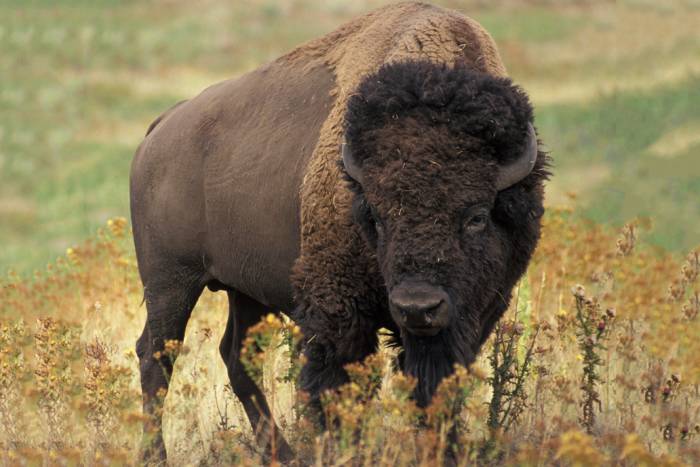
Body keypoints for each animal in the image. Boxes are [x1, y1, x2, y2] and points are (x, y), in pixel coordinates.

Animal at [130, 2, 548, 463]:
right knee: (156, 356)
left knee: (236, 356)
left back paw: (282, 453)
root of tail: (162, 127)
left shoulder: (472, 314)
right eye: (377, 217)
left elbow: (435, 387)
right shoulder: (338, 311)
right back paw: (156, 455)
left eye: (476, 216)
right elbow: (337, 388)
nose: (417, 307)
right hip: (170, 281)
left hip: (244, 290)